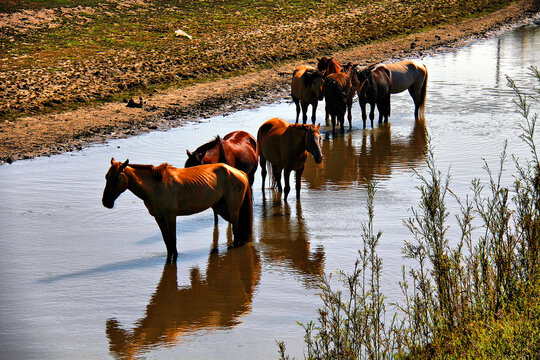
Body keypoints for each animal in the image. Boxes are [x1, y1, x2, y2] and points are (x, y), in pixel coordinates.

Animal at [102, 159, 252, 262]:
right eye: (106, 176)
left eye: (116, 178)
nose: (106, 202)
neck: (156, 186)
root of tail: (239, 172)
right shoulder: (159, 217)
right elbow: (167, 241)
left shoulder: (170, 216)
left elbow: (173, 240)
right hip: (221, 208)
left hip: (233, 208)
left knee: (237, 230)